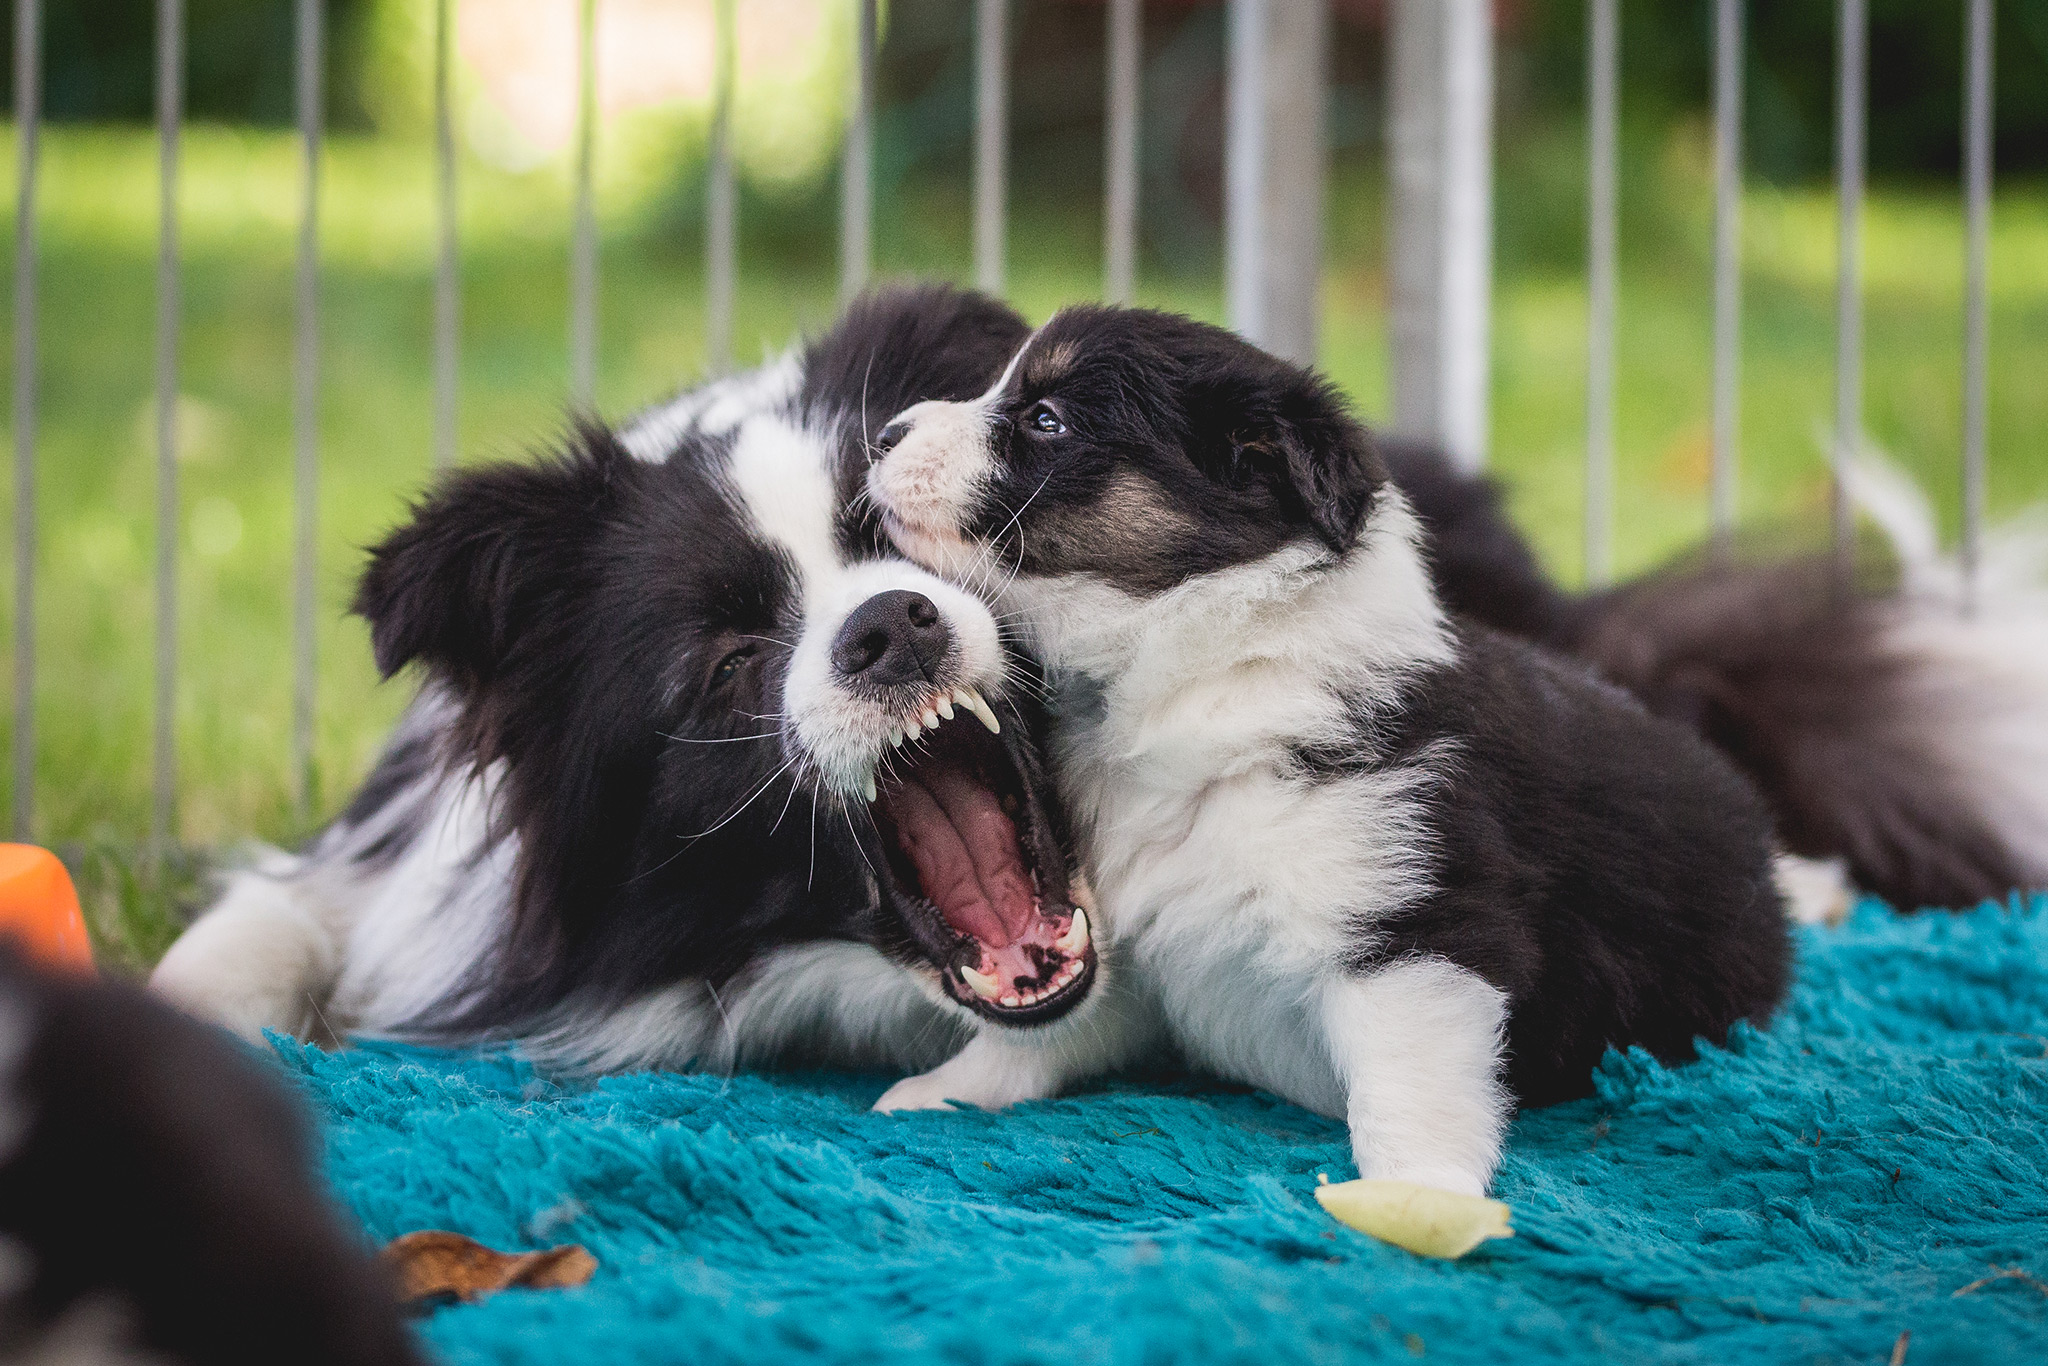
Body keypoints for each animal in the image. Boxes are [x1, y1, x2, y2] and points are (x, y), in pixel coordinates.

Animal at [864, 307, 1794, 1196]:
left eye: (1046, 419)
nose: (881, 435)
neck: (1202, 674)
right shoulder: (1127, 946)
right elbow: (1049, 1029)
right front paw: (938, 1092)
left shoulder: (1411, 933)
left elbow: (1409, 1090)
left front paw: (1419, 1200)